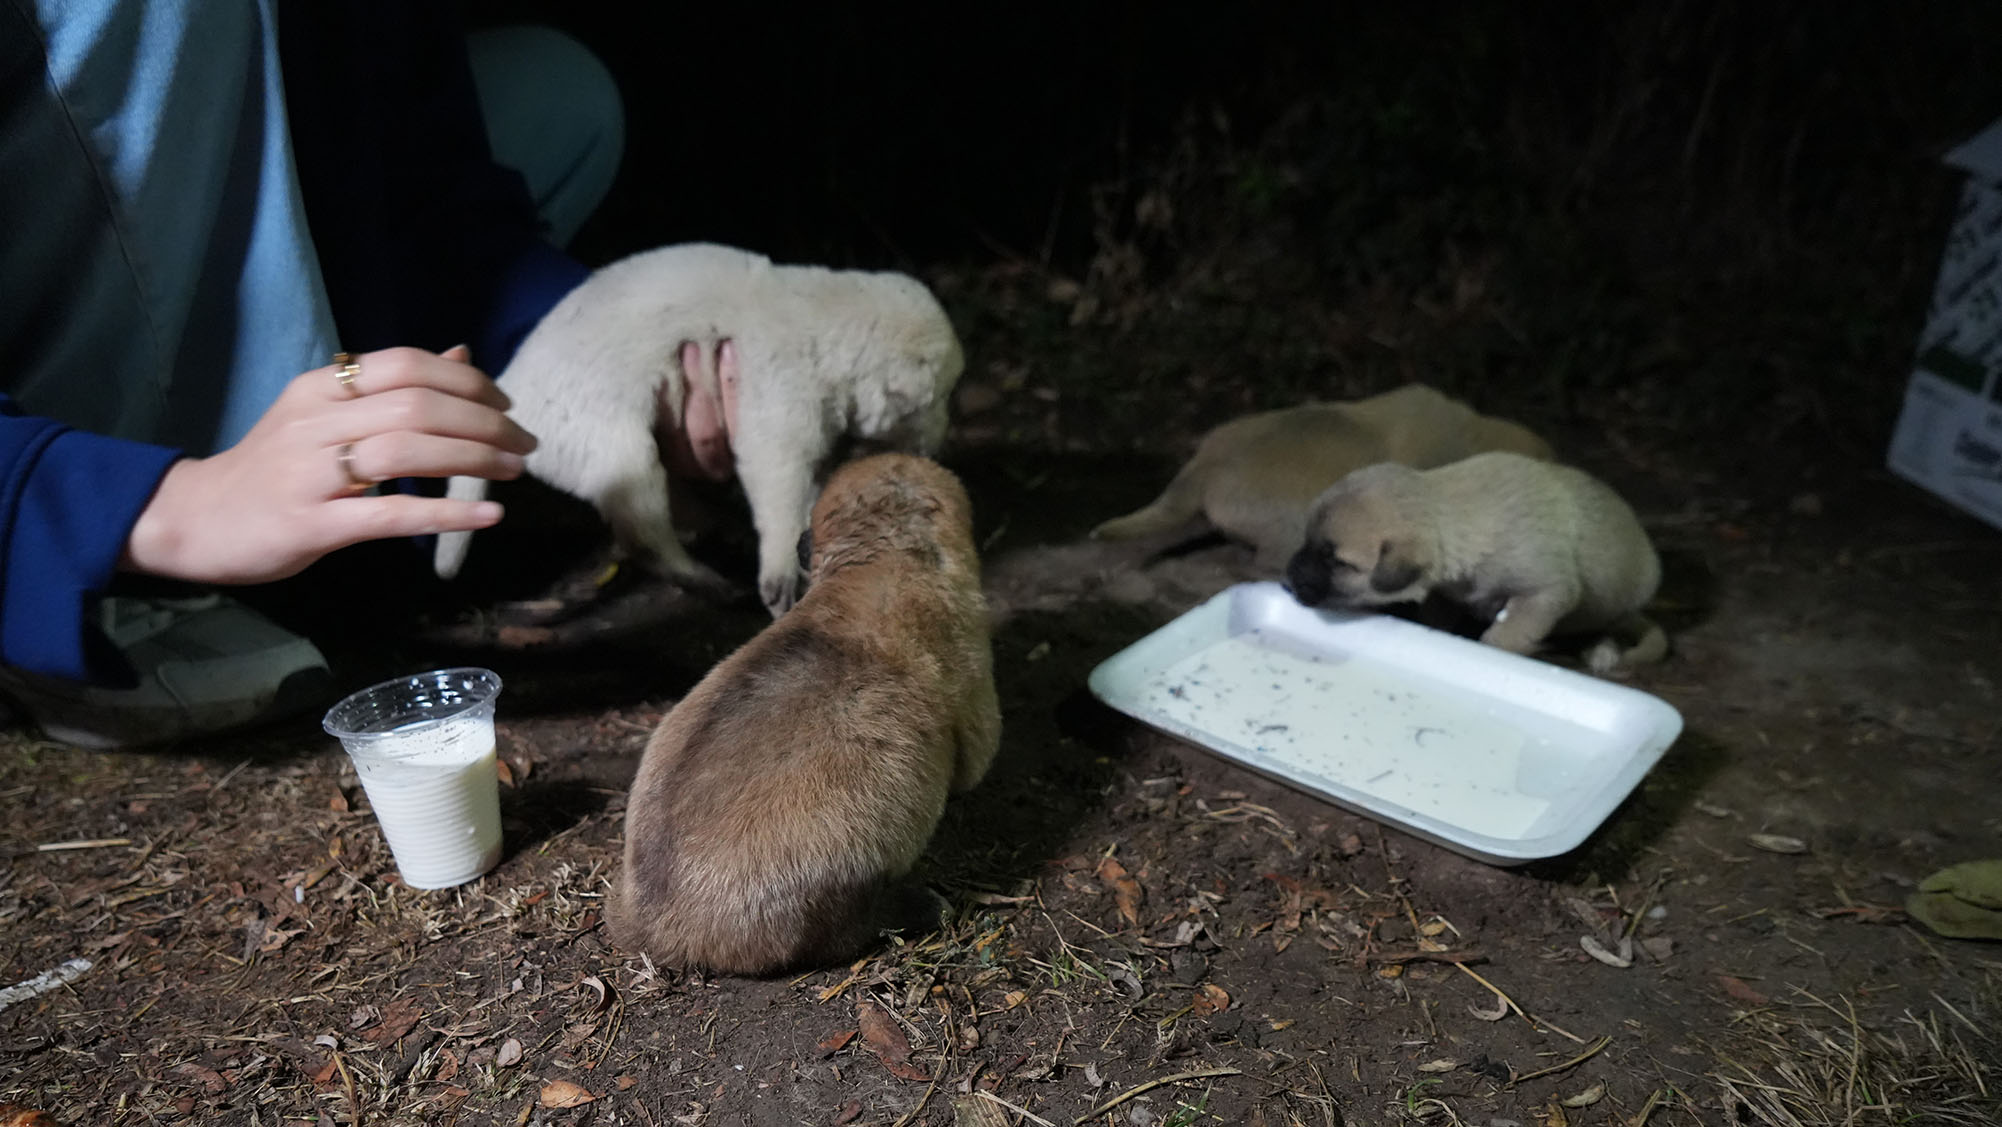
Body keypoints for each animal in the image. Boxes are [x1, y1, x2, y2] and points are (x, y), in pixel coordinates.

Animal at [434, 240, 964, 616]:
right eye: (939, 398)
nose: (937, 449)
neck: (824, 326)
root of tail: (508, 392)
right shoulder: (776, 412)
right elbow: (781, 495)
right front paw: (780, 573)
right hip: (620, 451)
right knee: (646, 539)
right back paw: (707, 578)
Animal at [1289, 454, 1665, 676]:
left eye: (1335, 560)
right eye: (1306, 541)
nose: (1290, 575)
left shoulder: (1544, 592)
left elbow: (1505, 634)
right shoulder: (1445, 595)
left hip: (1614, 603)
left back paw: (1602, 651)